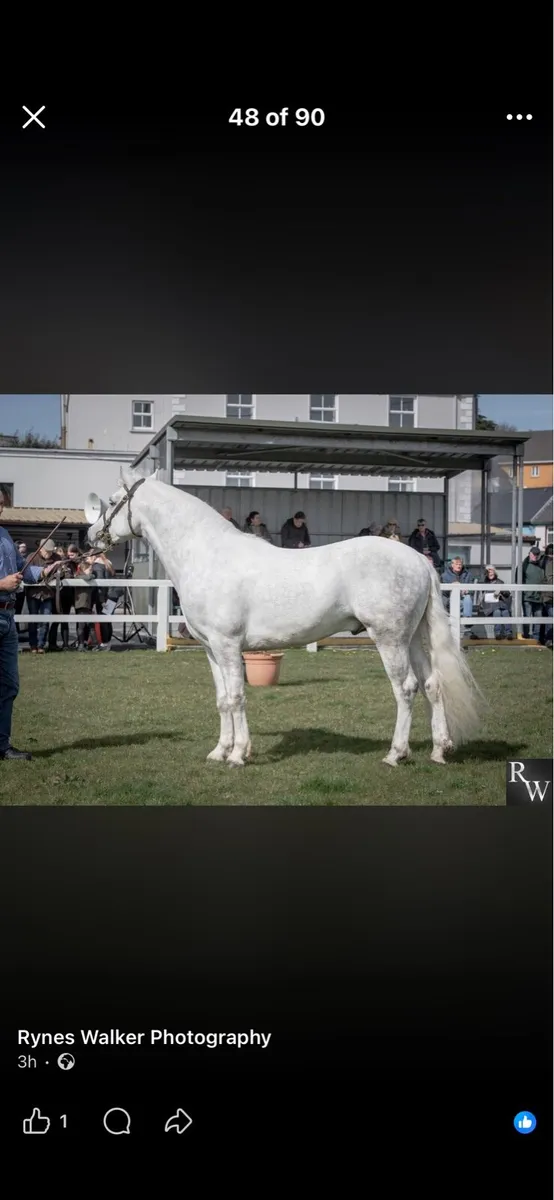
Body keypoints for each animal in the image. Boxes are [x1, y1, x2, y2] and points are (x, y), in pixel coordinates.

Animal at [87, 466, 484, 769]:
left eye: (113, 501)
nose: (93, 536)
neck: (208, 555)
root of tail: (417, 559)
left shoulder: (228, 646)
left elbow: (236, 697)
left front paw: (237, 755)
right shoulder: (211, 649)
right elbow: (222, 699)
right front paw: (220, 751)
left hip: (390, 638)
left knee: (406, 688)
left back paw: (395, 754)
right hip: (414, 637)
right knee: (432, 685)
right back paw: (439, 750)